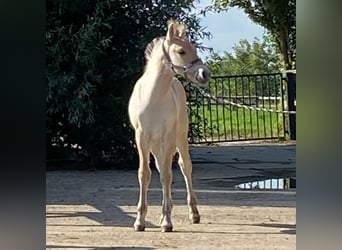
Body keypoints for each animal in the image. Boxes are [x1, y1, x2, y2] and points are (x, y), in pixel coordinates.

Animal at [127, 20, 210, 232]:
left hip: (179, 137)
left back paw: (193, 213)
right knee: (160, 167)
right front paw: (140, 221)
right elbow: (145, 174)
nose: (205, 73)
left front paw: (167, 221)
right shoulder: (141, 137)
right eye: (181, 51)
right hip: (156, 144)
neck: (153, 97)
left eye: (195, 48)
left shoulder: (168, 136)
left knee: (184, 167)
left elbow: (166, 175)